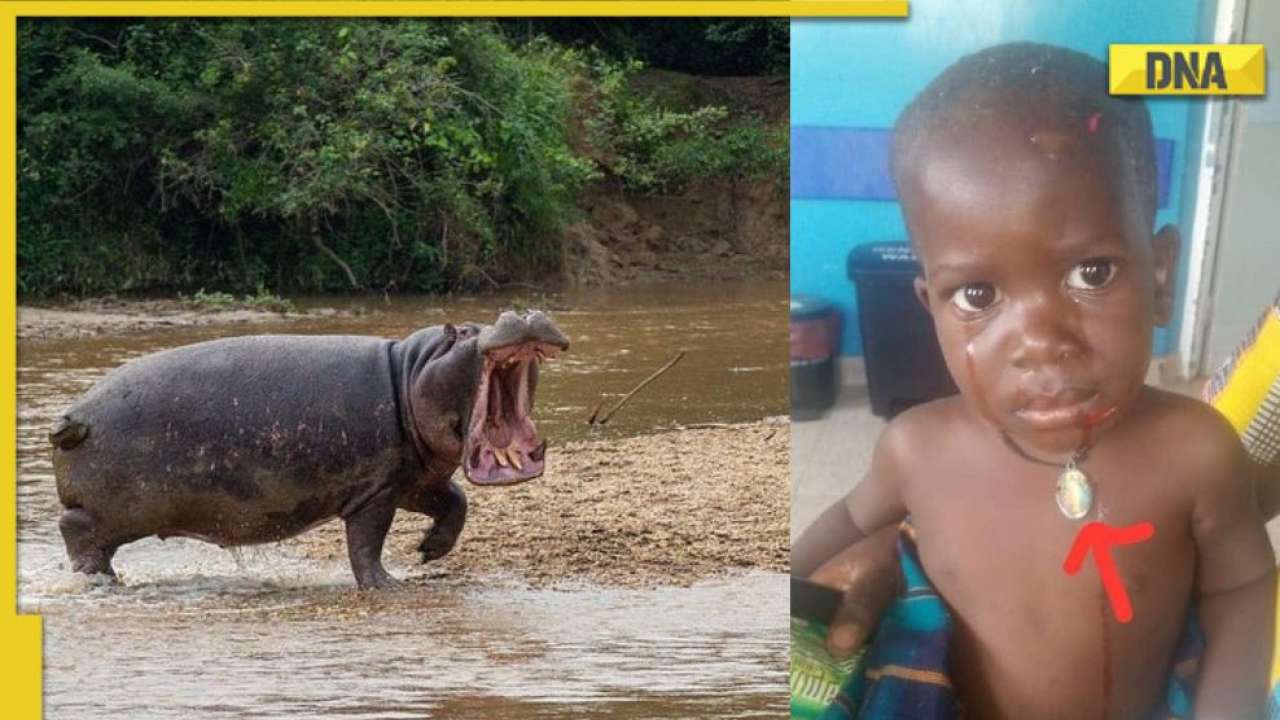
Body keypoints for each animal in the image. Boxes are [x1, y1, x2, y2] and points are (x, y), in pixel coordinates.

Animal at [49, 311, 568, 589]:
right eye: (460, 332)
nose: (521, 311)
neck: (410, 371)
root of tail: (74, 415)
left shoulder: (412, 479)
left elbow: (455, 502)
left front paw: (429, 553)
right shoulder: (375, 491)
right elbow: (366, 543)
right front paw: (387, 585)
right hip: (112, 511)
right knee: (76, 531)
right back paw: (99, 582)